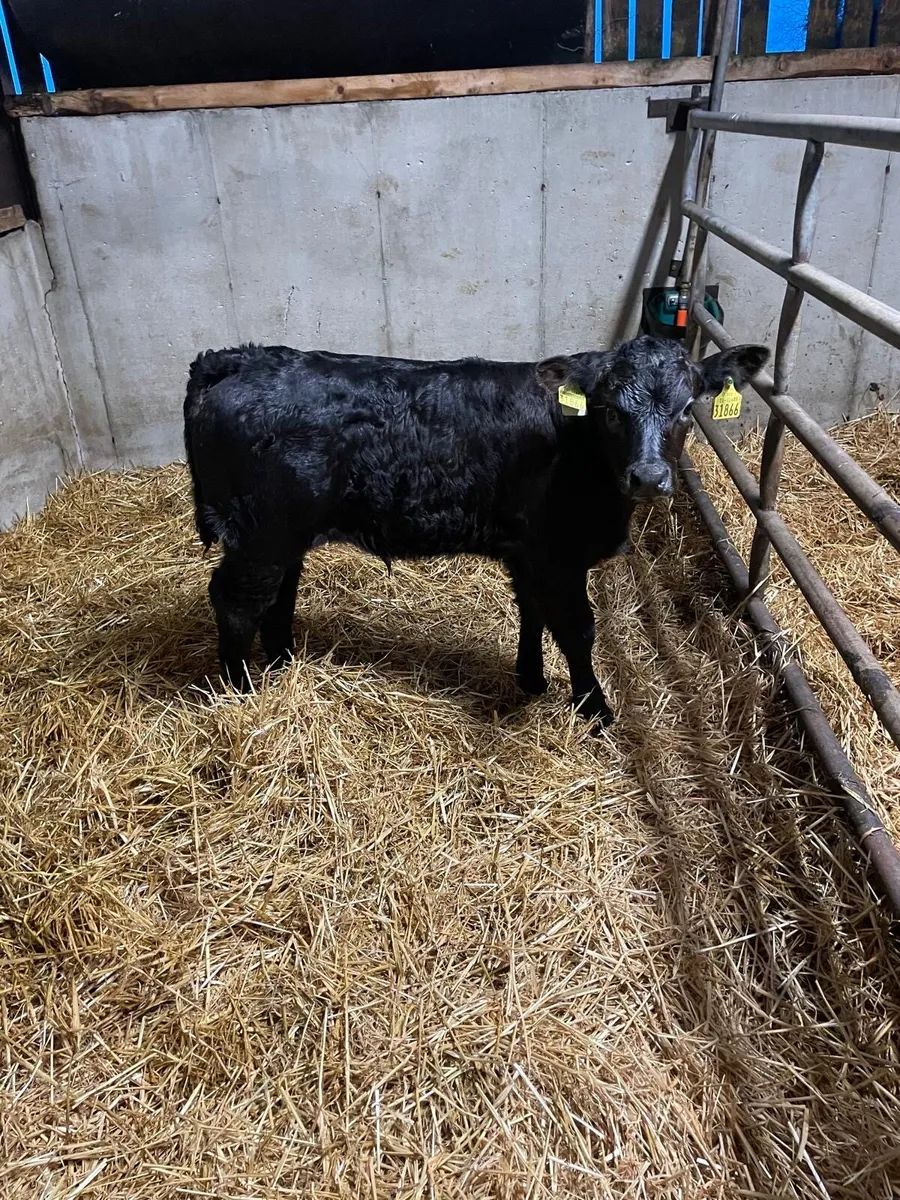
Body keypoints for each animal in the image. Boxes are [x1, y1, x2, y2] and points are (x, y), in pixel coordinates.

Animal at [183, 336, 768, 728]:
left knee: (278, 594)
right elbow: (577, 630)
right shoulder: (557, 554)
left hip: (284, 533)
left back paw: (283, 665)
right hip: (261, 532)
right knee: (237, 600)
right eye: (607, 410)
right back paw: (242, 691)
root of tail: (239, 358)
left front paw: (531, 679)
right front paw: (594, 707)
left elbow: (531, 612)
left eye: (687, 409)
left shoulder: (529, 551)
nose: (648, 476)